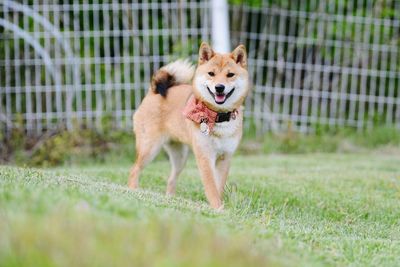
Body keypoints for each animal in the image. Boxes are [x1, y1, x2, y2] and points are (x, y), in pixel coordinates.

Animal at [128, 42, 248, 210]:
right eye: (211, 73)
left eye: (230, 75)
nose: (219, 87)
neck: (218, 117)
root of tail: (153, 92)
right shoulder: (205, 156)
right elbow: (211, 187)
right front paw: (218, 209)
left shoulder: (225, 157)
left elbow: (219, 187)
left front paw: (219, 206)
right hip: (149, 149)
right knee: (134, 170)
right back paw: (133, 191)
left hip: (180, 157)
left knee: (171, 179)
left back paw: (170, 199)